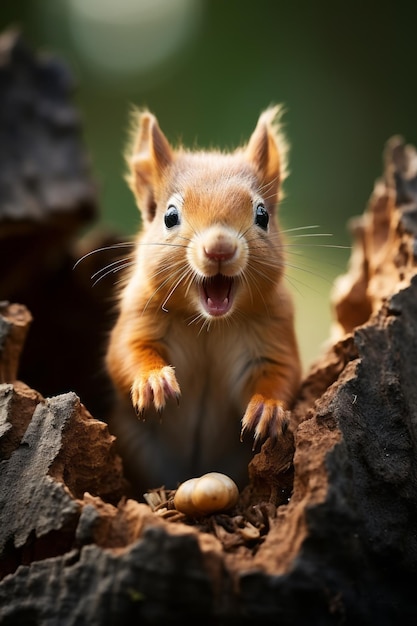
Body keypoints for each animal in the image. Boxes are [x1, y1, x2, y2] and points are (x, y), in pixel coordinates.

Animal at [105, 107, 300, 494]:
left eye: (262, 215)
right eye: (169, 216)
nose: (220, 248)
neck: (210, 324)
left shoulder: (274, 329)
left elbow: (282, 372)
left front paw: (268, 409)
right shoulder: (139, 315)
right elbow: (126, 353)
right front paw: (153, 382)